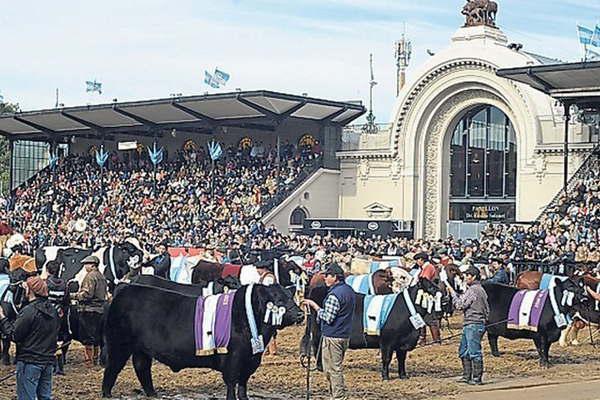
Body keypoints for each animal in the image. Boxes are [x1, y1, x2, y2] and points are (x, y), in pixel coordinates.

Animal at [102, 280, 304, 398]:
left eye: (291, 296)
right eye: (278, 300)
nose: (301, 314)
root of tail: (125, 289)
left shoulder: (250, 360)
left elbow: (243, 385)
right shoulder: (233, 359)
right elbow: (232, 384)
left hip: (141, 349)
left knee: (142, 368)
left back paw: (153, 394)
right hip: (119, 344)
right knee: (112, 369)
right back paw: (107, 394)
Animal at [302, 280, 442, 380]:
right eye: (431, 288)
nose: (445, 298)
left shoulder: (402, 342)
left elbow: (401, 359)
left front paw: (403, 376)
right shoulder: (386, 341)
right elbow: (386, 358)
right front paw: (385, 377)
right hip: (317, 333)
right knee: (317, 347)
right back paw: (320, 368)